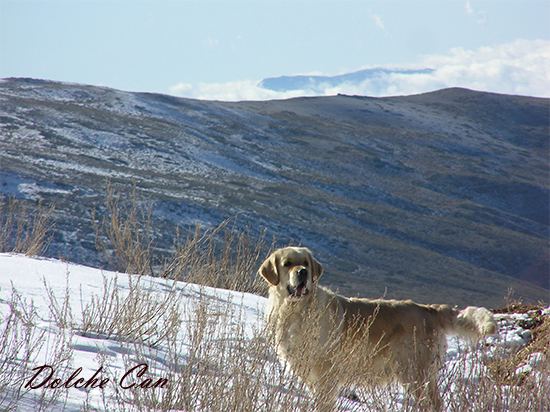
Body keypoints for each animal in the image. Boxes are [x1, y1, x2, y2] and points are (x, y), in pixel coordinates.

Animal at [260, 246, 498, 410]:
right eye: (287, 263)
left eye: (305, 263)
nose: (302, 272)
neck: (297, 311)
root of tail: (428, 308)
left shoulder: (325, 375)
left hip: (413, 372)